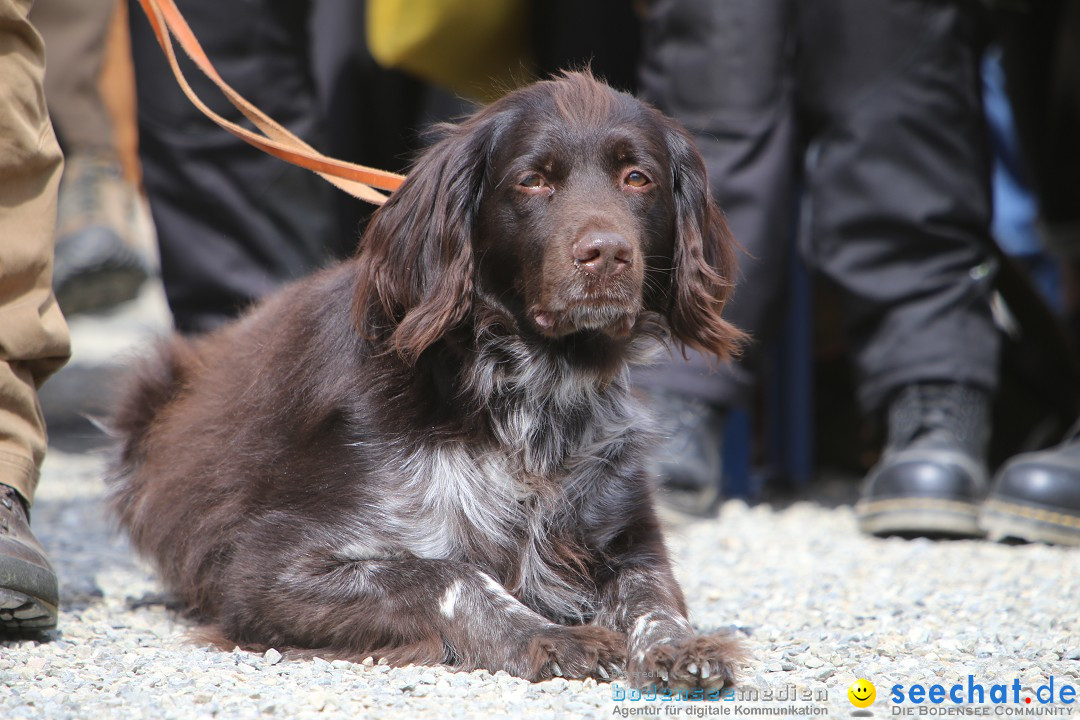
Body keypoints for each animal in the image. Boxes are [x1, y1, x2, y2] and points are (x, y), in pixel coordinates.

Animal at [107, 70, 743, 690]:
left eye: (637, 178)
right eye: (532, 181)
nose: (607, 253)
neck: (530, 396)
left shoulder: (628, 536)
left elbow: (655, 600)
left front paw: (683, 647)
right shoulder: (266, 569)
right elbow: (451, 573)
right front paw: (549, 637)